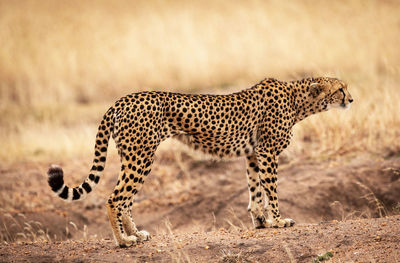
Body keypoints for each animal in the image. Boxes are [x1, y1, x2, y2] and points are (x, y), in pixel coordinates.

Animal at [47, 76, 354, 248]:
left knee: (125, 200)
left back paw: (136, 234)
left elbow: (255, 191)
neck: (298, 100)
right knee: (116, 198)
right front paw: (278, 220)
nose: (351, 99)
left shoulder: (253, 154)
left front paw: (261, 222)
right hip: (142, 156)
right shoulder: (267, 152)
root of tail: (121, 99)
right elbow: (272, 190)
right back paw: (123, 241)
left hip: (133, 156)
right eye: (340, 89)